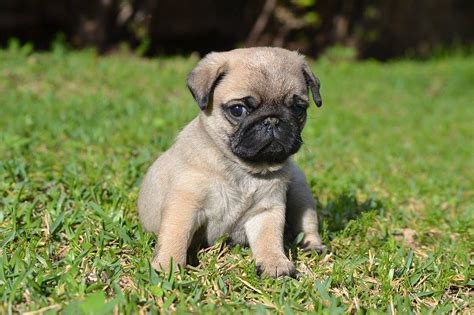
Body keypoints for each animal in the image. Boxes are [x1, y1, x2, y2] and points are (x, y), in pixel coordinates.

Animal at [137, 45, 322, 278]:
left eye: (298, 109)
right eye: (237, 110)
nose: (272, 120)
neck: (241, 168)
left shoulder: (266, 211)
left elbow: (269, 240)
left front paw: (274, 263)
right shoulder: (185, 206)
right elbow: (175, 236)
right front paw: (167, 266)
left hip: (300, 190)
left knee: (308, 224)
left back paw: (312, 245)